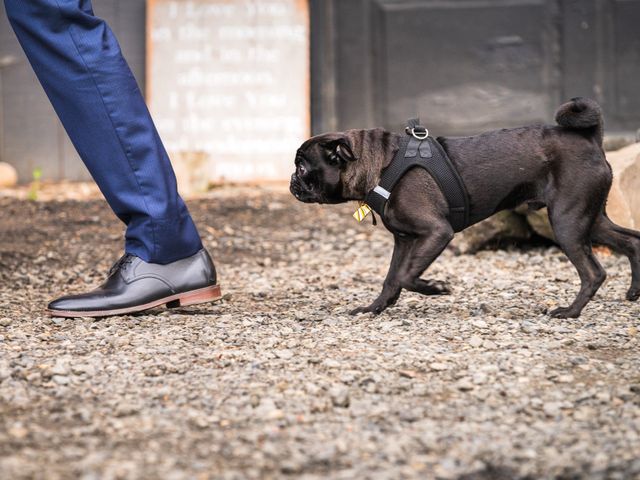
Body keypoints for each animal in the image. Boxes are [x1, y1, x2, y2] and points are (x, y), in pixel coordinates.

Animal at [290, 97, 640, 318]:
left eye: (303, 168)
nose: (292, 180)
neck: (381, 164)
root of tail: (591, 140)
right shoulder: (404, 240)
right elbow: (391, 278)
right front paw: (374, 308)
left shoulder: (436, 232)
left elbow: (405, 274)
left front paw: (436, 288)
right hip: (590, 219)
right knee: (630, 242)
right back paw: (633, 293)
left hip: (567, 222)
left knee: (593, 273)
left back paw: (570, 312)